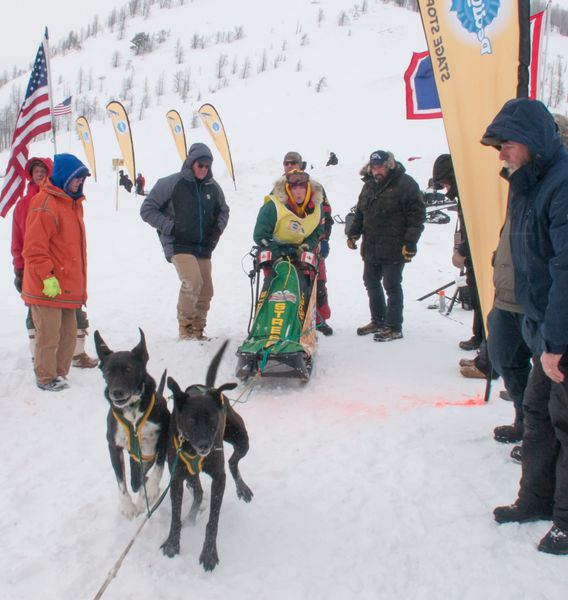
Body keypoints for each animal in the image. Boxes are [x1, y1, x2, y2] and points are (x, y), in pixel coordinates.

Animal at [94, 328, 170, 520]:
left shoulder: (164, 436)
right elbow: (121, 480)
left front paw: (150, 491)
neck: (133, 415)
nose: (116, 392)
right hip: (136, 458)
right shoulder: (114, 446)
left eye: (129, 369)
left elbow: (159, 467)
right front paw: (127, 505)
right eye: (108, 372)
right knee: (136, 481)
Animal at [160, 342, 251, 572]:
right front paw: (172, 543)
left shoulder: (218, 477)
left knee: (233, 462)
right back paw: (190, 517)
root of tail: (210, 388)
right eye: (191, 420)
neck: (193, 450)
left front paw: (209, 553)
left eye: (213, 420)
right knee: (199, 491)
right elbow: (175, 514)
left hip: (242, 439)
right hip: (189, 473)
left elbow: (213, 521)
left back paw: (242, 488)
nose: (205, 446)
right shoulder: (177, 477)